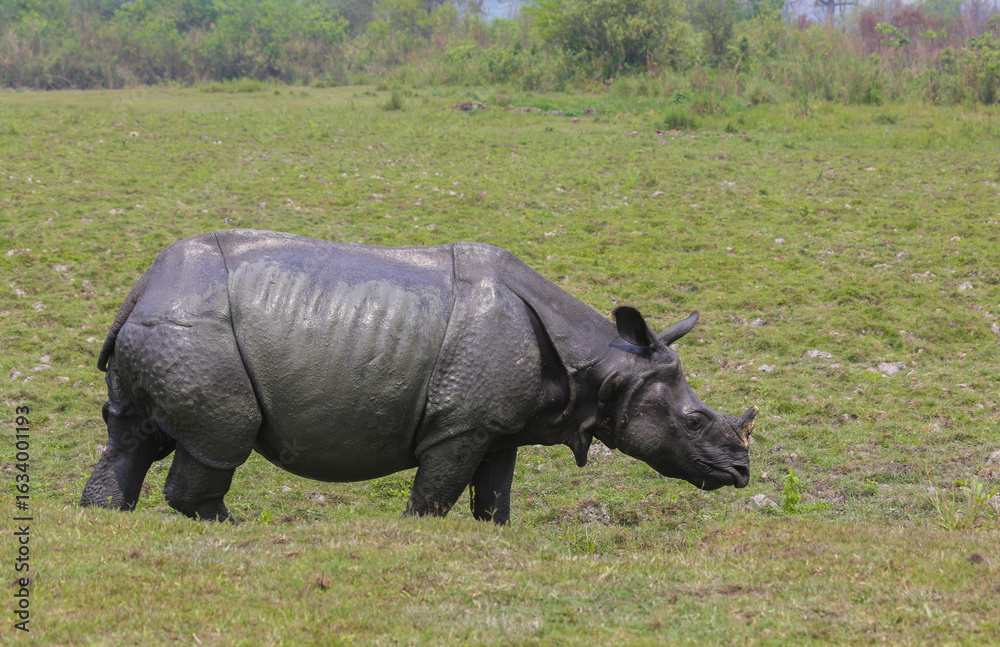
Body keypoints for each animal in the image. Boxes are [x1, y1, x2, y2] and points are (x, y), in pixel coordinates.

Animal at [80, 229, 755, 524]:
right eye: (695, 422)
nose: (742, 473)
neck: (607, 361)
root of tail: (142, 287)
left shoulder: (495, 425)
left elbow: (494, 493)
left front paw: (492, 533)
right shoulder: (459, 425)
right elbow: (437, 492)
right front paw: (418, 531)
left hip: (163, 327)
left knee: (133, 436)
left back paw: (105, 518)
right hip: (194, 332)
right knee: (223, 436)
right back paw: (233, 527)